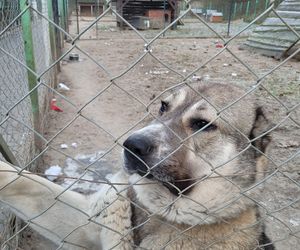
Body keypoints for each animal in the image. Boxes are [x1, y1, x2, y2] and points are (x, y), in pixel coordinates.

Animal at [0, 82, 274, 248]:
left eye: (202, 124)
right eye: (163, 106)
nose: (131, 145)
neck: (163, 213)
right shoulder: (86, 223)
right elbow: (27, 183)